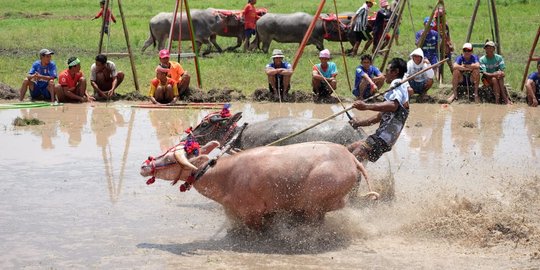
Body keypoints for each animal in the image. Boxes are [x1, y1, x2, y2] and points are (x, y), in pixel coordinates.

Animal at [139, 141, 376, 230]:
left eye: (170, 158)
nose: (144, 166)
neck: (224, 176)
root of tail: (350, 158)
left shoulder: (252, 213)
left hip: (315, 200)